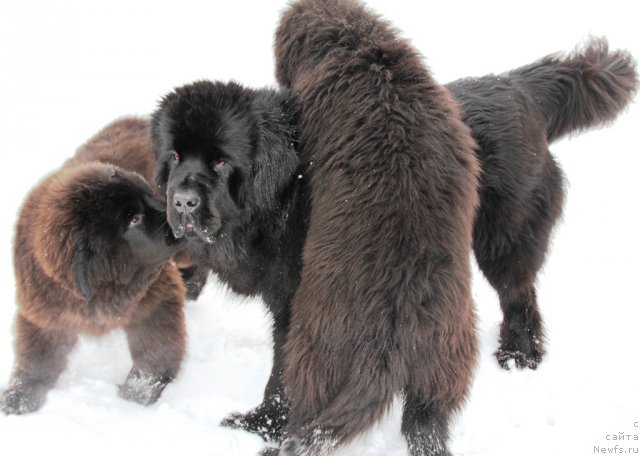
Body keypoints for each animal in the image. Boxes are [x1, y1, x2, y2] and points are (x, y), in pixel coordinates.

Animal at [1, 117, 188, 414]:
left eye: (149, 194)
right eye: (133, 219)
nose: (178, 211)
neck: (103, 288)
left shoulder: (157, 295)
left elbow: (156, 347)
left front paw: (139, 391)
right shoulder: (43, 312)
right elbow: (36, 357)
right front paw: (20, 394)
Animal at [274, 1, 480, 454]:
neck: (363, 50)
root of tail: (393, 335)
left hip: (316, 344)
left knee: (308, 405)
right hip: (448, 356)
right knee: (426, 419)